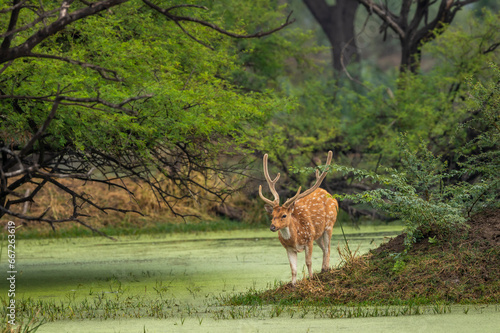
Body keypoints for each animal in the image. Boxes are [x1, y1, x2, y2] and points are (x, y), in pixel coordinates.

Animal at [260, 152, 338, 284]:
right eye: (272, 215)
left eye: (284, 215)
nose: (272, 227)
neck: (296, 237)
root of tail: (333, 198)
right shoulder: (288, 248)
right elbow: (293, 269)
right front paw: (293, 284)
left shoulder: (309, 240)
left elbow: (308, 262)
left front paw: (311, 278)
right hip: (318, 233)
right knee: (324, 248)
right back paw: (323, 269)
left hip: (329, 225)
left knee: (328, 248)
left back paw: (326, 269)